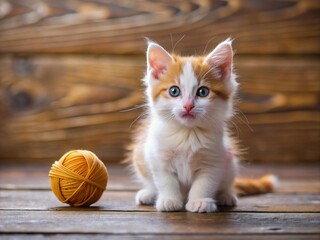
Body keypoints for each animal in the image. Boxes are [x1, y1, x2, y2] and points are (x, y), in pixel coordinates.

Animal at [127, 39, 276, 214]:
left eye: (203, 92)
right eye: (174, 91)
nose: (188, 106)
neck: (187, 133)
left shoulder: (214, 159)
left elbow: (204, 183)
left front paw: (200, 201)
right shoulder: (159, 157)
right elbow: (166, 181)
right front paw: (170, 200)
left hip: (230, 161)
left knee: (225, 184)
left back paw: (225, 196)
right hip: (140, 156)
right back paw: (149, 193)